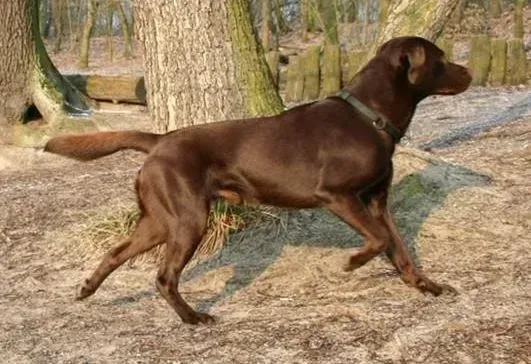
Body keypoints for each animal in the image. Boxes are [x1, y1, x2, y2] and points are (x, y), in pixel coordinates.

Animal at [44, 37, 470, 324]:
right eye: (441, 59)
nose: (468, 71)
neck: (370, 116)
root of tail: (160, 140)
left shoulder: (377, 201)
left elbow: (399, 246)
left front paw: (425, 285)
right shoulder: (337, 195)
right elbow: (380, 239)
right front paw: (352, 262)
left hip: (160, 221)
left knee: (117, 253)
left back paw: (87, 288)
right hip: (188, 219)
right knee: (164, 277)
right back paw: (193, 317)